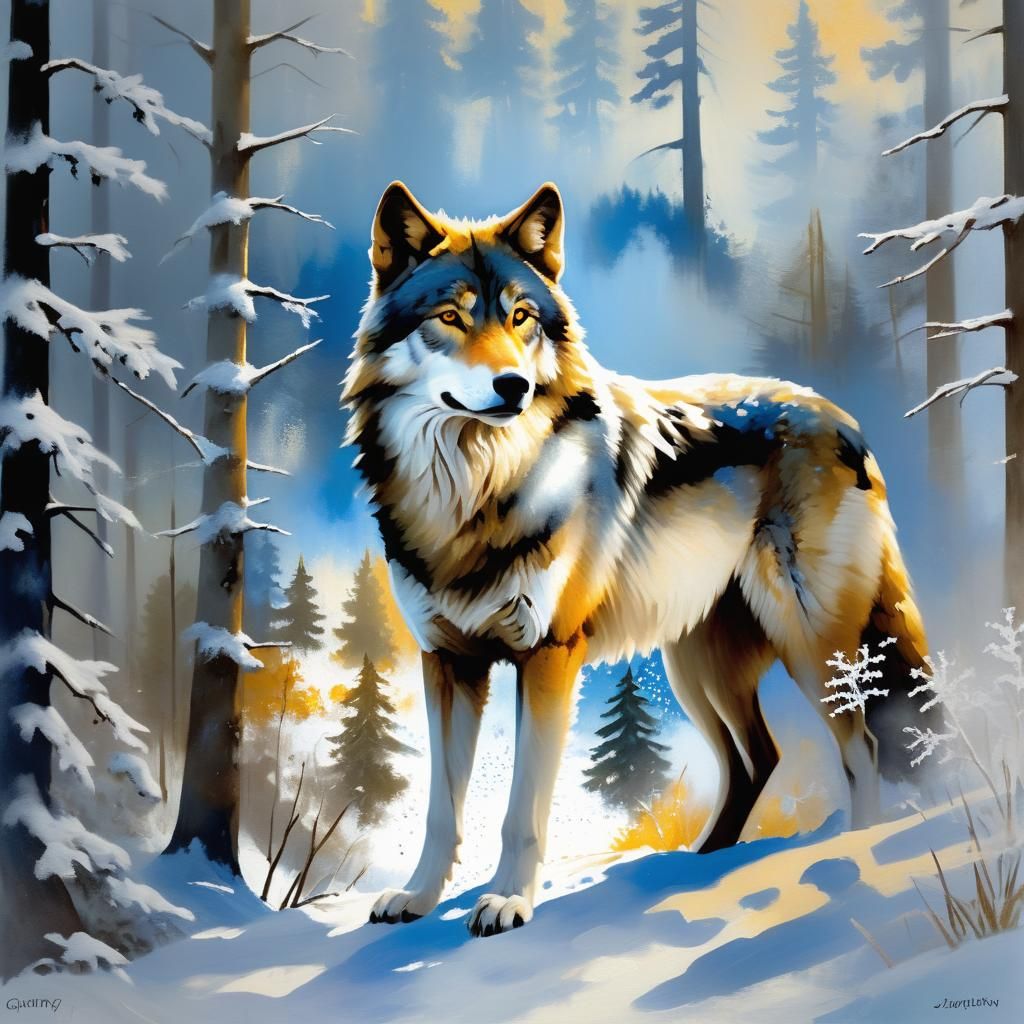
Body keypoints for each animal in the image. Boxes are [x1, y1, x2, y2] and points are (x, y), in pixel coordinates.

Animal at [343, 181, 929, 937]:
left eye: (521, 317)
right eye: (451, 317)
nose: (512, 387)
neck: (474, 493)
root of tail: (846, 420)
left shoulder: (547, 656)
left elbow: (522, 809)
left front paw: (508, 900)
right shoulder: (447, 661)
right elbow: (443, 808)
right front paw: (417, 898)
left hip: (805, 643)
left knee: (860, 750)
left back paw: (853, 851)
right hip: (697, 666)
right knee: (756, 761)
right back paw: (700, 862)